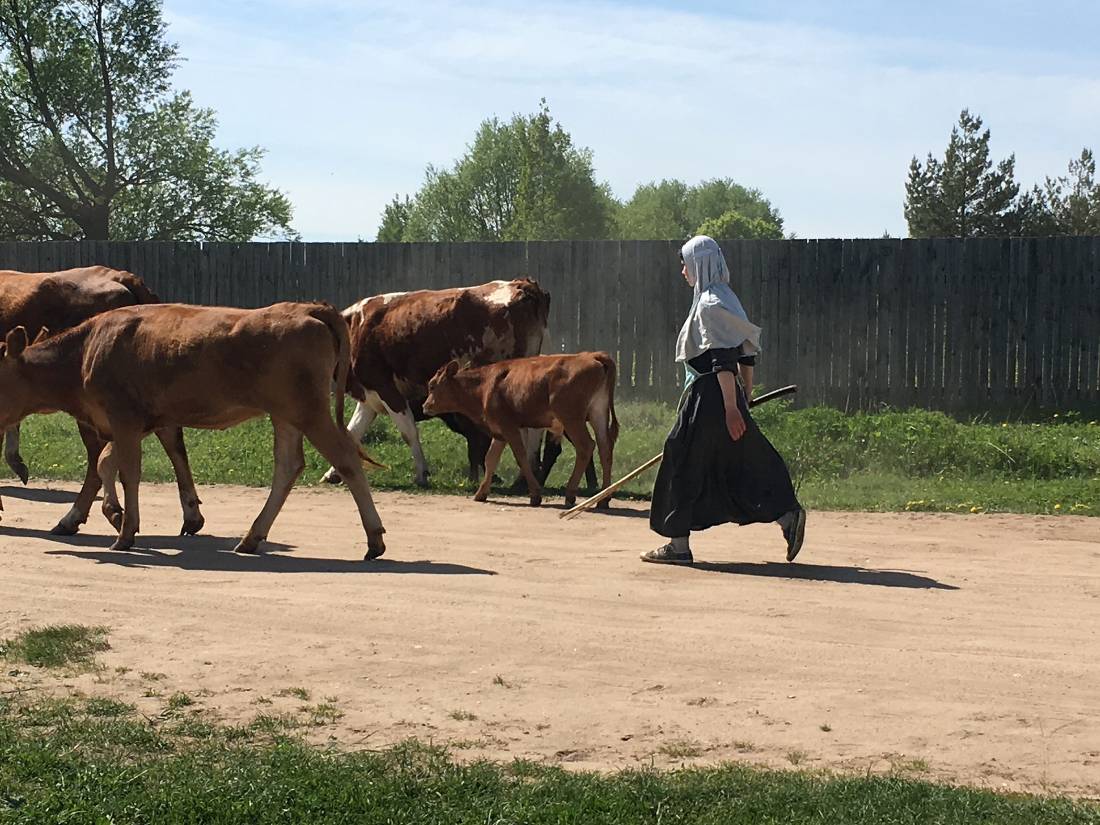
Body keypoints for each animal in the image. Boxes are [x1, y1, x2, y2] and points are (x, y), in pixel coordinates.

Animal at [0, 301, 387, 558]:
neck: (85, 351)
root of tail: (307, 307)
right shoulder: (146, 420)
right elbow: (108, 463)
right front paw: (115, 515)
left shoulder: (125, 419)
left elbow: (127, 472)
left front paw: (125, 531)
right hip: (286, 415)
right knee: (288, 466)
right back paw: (252, 536)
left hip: (309, 411)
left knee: (346, 459)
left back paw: (374, 539)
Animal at [323, 281, 550, 488]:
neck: (354, 327)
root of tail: (522, 284)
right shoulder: (369, 396)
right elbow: (352, 433)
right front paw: (333, 473)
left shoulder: (386, 389)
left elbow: (408, 432)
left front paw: (421, 473)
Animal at [422, 349, 620, 508]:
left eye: (432, 385)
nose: (425, 406)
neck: (485, 384)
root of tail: (593, 356)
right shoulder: (500, 432)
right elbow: (490, 459)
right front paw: (481, 493)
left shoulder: (509, 426)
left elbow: (521, 456)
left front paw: (535, 494)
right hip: (598, 413)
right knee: (605, 448)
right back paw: (603, 498)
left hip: (572, 418)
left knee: (586, 446)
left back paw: (571, 494)